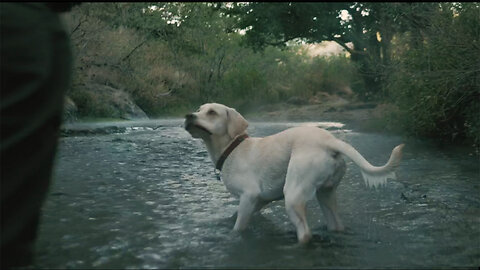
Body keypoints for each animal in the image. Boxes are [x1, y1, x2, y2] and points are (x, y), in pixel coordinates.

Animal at [184, 102, 404, 244]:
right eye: (198, 109)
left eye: (212, 112)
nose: (188, 115)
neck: (232, 148)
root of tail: (329, 141)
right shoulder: (260, 200)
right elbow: (235, 215)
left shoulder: (249, 196)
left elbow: (238, 227)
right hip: (326, 195)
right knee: (336, 225)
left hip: (293, 196)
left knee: (305, 234)